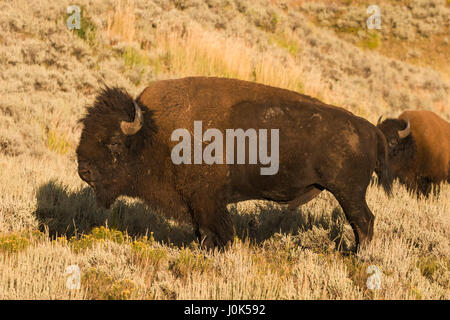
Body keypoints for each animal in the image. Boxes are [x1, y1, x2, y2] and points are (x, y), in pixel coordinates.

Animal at [75, 77, 392, 250]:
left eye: (114, 142)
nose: (83, 170)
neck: (153, 131)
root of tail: (369, 128)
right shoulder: (197, 203)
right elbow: (202, 232)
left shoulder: (208, 202)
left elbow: (215, 233)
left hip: (348, 192)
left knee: (364, 221)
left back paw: (358, 256)